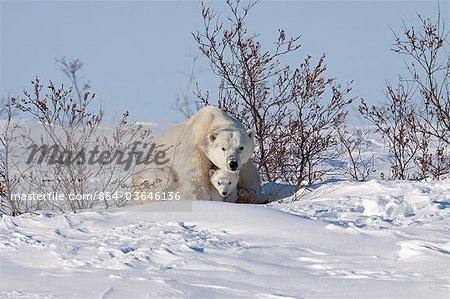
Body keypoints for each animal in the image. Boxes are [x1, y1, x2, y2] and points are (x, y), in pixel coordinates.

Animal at [130, 106, 264, 204]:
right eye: (223, 148)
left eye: (241, 147)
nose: (233, 164)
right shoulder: (196, 149)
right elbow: (195, 178)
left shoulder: (245, 162)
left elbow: (249, 176)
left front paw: (247, 194)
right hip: (150, 174)